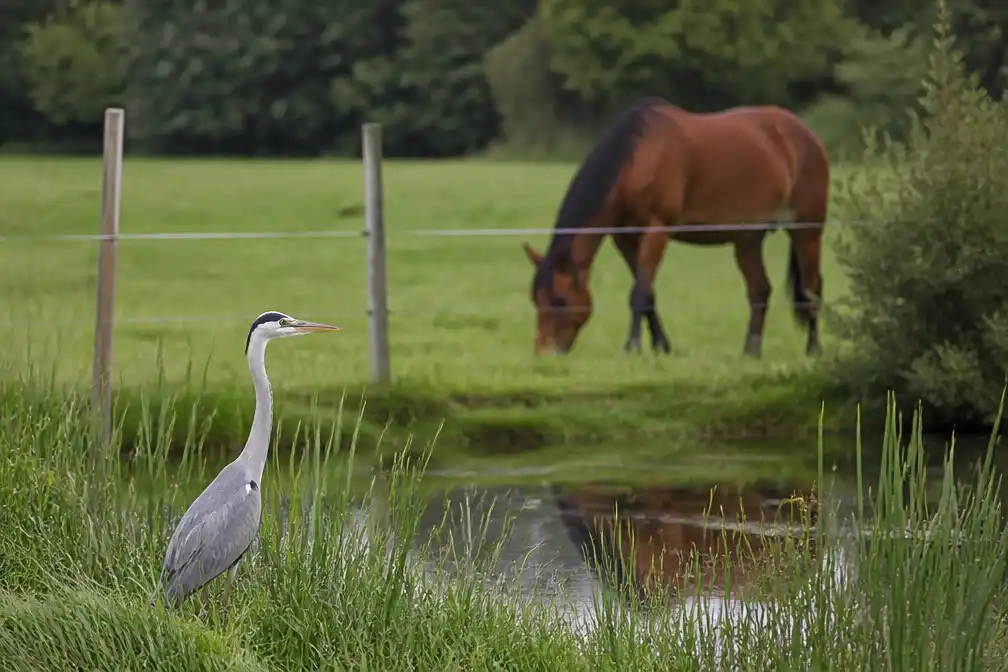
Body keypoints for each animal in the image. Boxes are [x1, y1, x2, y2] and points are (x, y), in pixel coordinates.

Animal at [522, 96, 830, 359]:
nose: (544, 354)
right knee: (760, 291)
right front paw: (661, 346)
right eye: (536, 300)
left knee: (811, 288)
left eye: (560, 300)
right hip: (748, 239)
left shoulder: (657, 231)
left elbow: (639, 293)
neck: (639, 156)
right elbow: (648, 292)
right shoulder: (625, 238)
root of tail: (806, 135)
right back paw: (750, 352)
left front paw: (632, 348)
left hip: (807, 232)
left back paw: (814, 349)